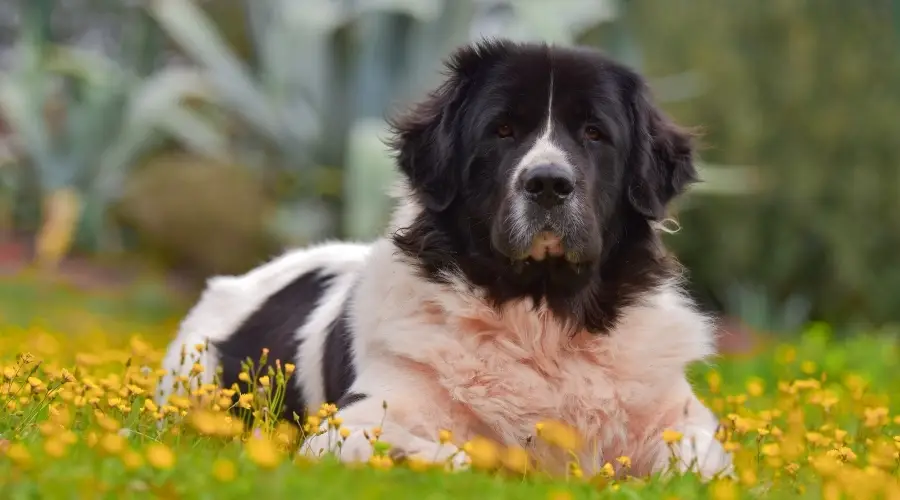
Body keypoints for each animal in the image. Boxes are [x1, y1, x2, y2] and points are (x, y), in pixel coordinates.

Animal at [158, 38, 736, 476]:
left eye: (595, 133)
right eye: (502, 130)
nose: (549, 183)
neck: (543, 315)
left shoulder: (680, 418)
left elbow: (702, 459)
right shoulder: (353, 424)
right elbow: (449, 452)